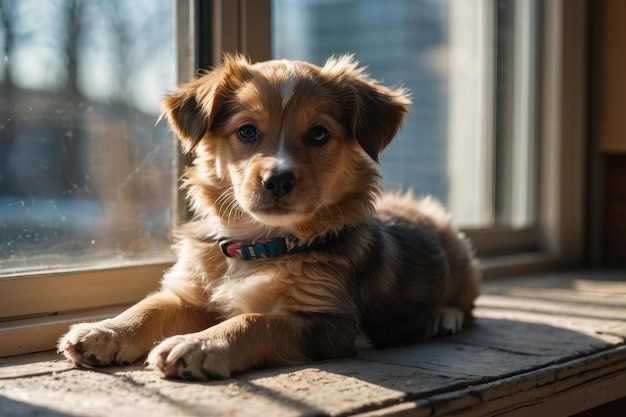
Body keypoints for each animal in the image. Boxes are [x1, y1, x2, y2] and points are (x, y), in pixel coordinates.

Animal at [58, 53, 478, 378]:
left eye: (319, 134)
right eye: (246, 131)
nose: (277, 180)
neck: (259, 243)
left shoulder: (330, 321)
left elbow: (255, 320)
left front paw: (197, 345)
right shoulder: (192, 292)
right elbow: (150, 307)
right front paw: (104, 331)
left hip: (460, 254)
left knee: (466, 299)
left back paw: (444, 317)